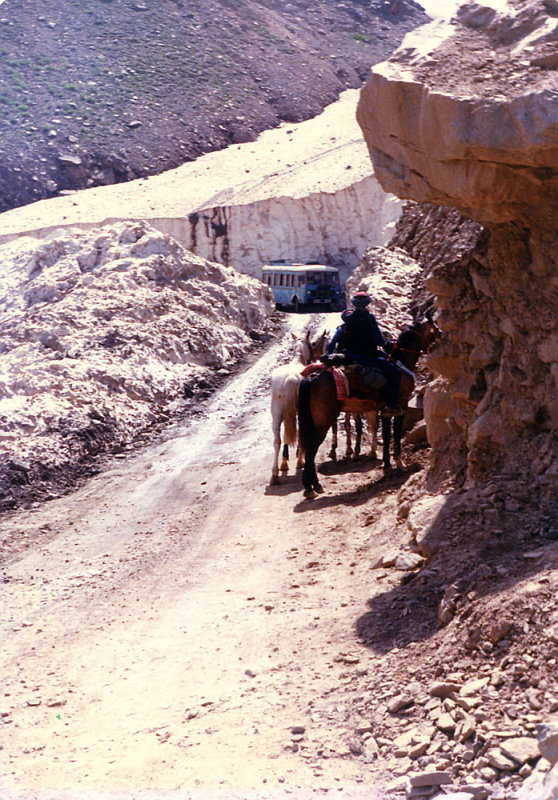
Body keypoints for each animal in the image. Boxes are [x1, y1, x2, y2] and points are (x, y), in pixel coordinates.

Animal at [270, 328, 328, 484]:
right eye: (312, 343)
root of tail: (290, 377)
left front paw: (284, 464)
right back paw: (300, 462)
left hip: (277, 413)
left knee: (277, 440)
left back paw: (275, 475)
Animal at [300, 318, 440, 494]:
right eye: (435, 330)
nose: (442, 337)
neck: (399, 362)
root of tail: (312, 378)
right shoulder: (401, 405)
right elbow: (395, 433)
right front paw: (399, 463)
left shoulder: (384, 409)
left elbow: (385, 435)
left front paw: (387, 465)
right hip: (323, 422)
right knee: (311, 450)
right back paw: (313, 486)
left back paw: (312, 485)